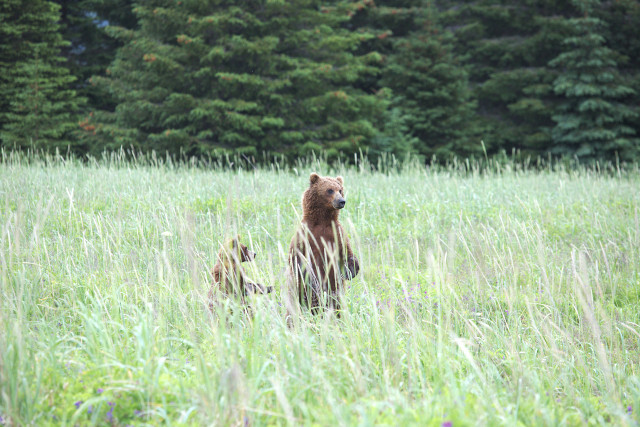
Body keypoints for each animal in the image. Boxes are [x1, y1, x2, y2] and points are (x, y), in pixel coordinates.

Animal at [286, 173, 360, 318]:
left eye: (340, 190)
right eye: (330, 190)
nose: (342, 201)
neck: (323, 220)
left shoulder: (337, 234)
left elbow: (347, 253)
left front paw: (351, 269)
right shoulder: (304, 235)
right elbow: (296, 257)